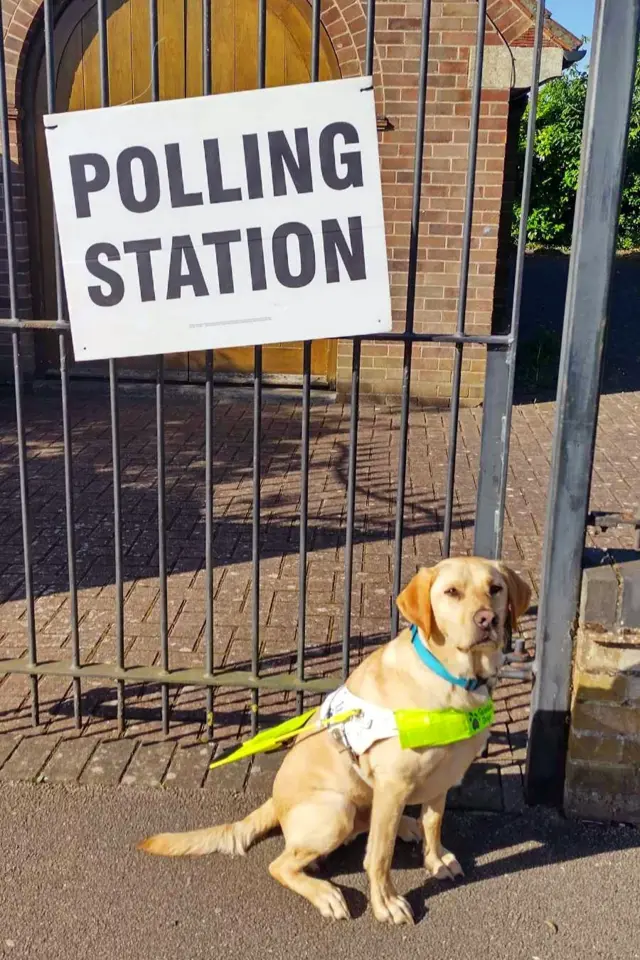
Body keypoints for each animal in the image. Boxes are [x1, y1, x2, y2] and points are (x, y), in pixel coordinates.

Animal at [139, 560, 528, 928]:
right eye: (451, 592)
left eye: (495, 589)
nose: (487, 619)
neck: (452, 678)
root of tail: (275, 803)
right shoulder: (394, 783)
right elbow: (380, 856)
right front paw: (386, 904)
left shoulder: (441, 779)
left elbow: (434, 824)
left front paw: (435, 860)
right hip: (336, 810)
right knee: (283, 864)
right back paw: (326, 893)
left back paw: (406, 826)